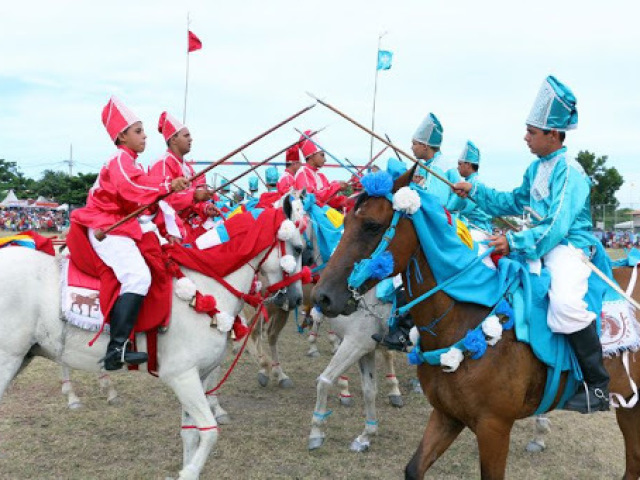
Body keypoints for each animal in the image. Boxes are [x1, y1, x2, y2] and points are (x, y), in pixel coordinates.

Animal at [0, 206, 304, 480]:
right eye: (300, 248)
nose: (297, 299)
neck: (205, 285)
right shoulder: (182, 376)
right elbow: (209, 432)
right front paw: (189, 471)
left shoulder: (199, 376)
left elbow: (191, 434)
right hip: (8, 360)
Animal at [312, 166, 640, 480]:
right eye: (344, 224)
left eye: (372, 226)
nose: (322, 297)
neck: (463, 319)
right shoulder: (446, 415)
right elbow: (413, 468)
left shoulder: (494, 427)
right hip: (630, 407)